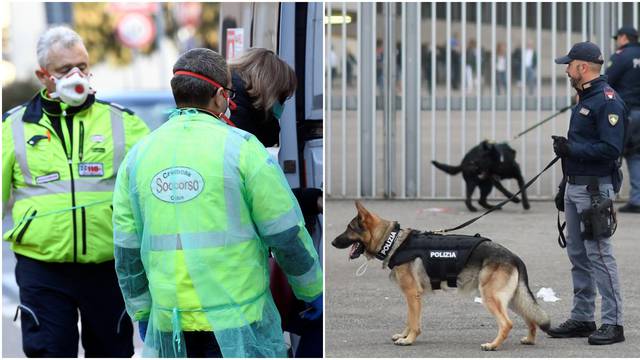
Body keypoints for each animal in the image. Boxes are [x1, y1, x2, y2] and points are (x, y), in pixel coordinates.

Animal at [330, 202, 552, 352]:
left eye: (349, 229)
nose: (332, 242)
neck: (391, 241)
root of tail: (513, 256)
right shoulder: (412, 297)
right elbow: (409, 319)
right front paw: (404, 335)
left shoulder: (412, 294)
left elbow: (413, 321)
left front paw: (409, 340)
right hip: (512, 298)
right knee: (531, 318)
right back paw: (529, 339)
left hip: (490, 297)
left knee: (507, 323)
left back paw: (492, 345)